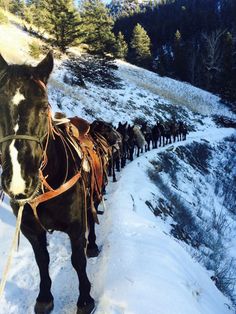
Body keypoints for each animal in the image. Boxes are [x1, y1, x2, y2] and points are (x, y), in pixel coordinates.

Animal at [0, 52, 109, 312]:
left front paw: (85, 299)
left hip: (93, 195)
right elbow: (42, 260)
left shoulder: (75, 226)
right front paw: (44, 298)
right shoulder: (31, 229)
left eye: (43, 107)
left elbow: (78, 260)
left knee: (92, 218)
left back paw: (92, 246)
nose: (19, 181)